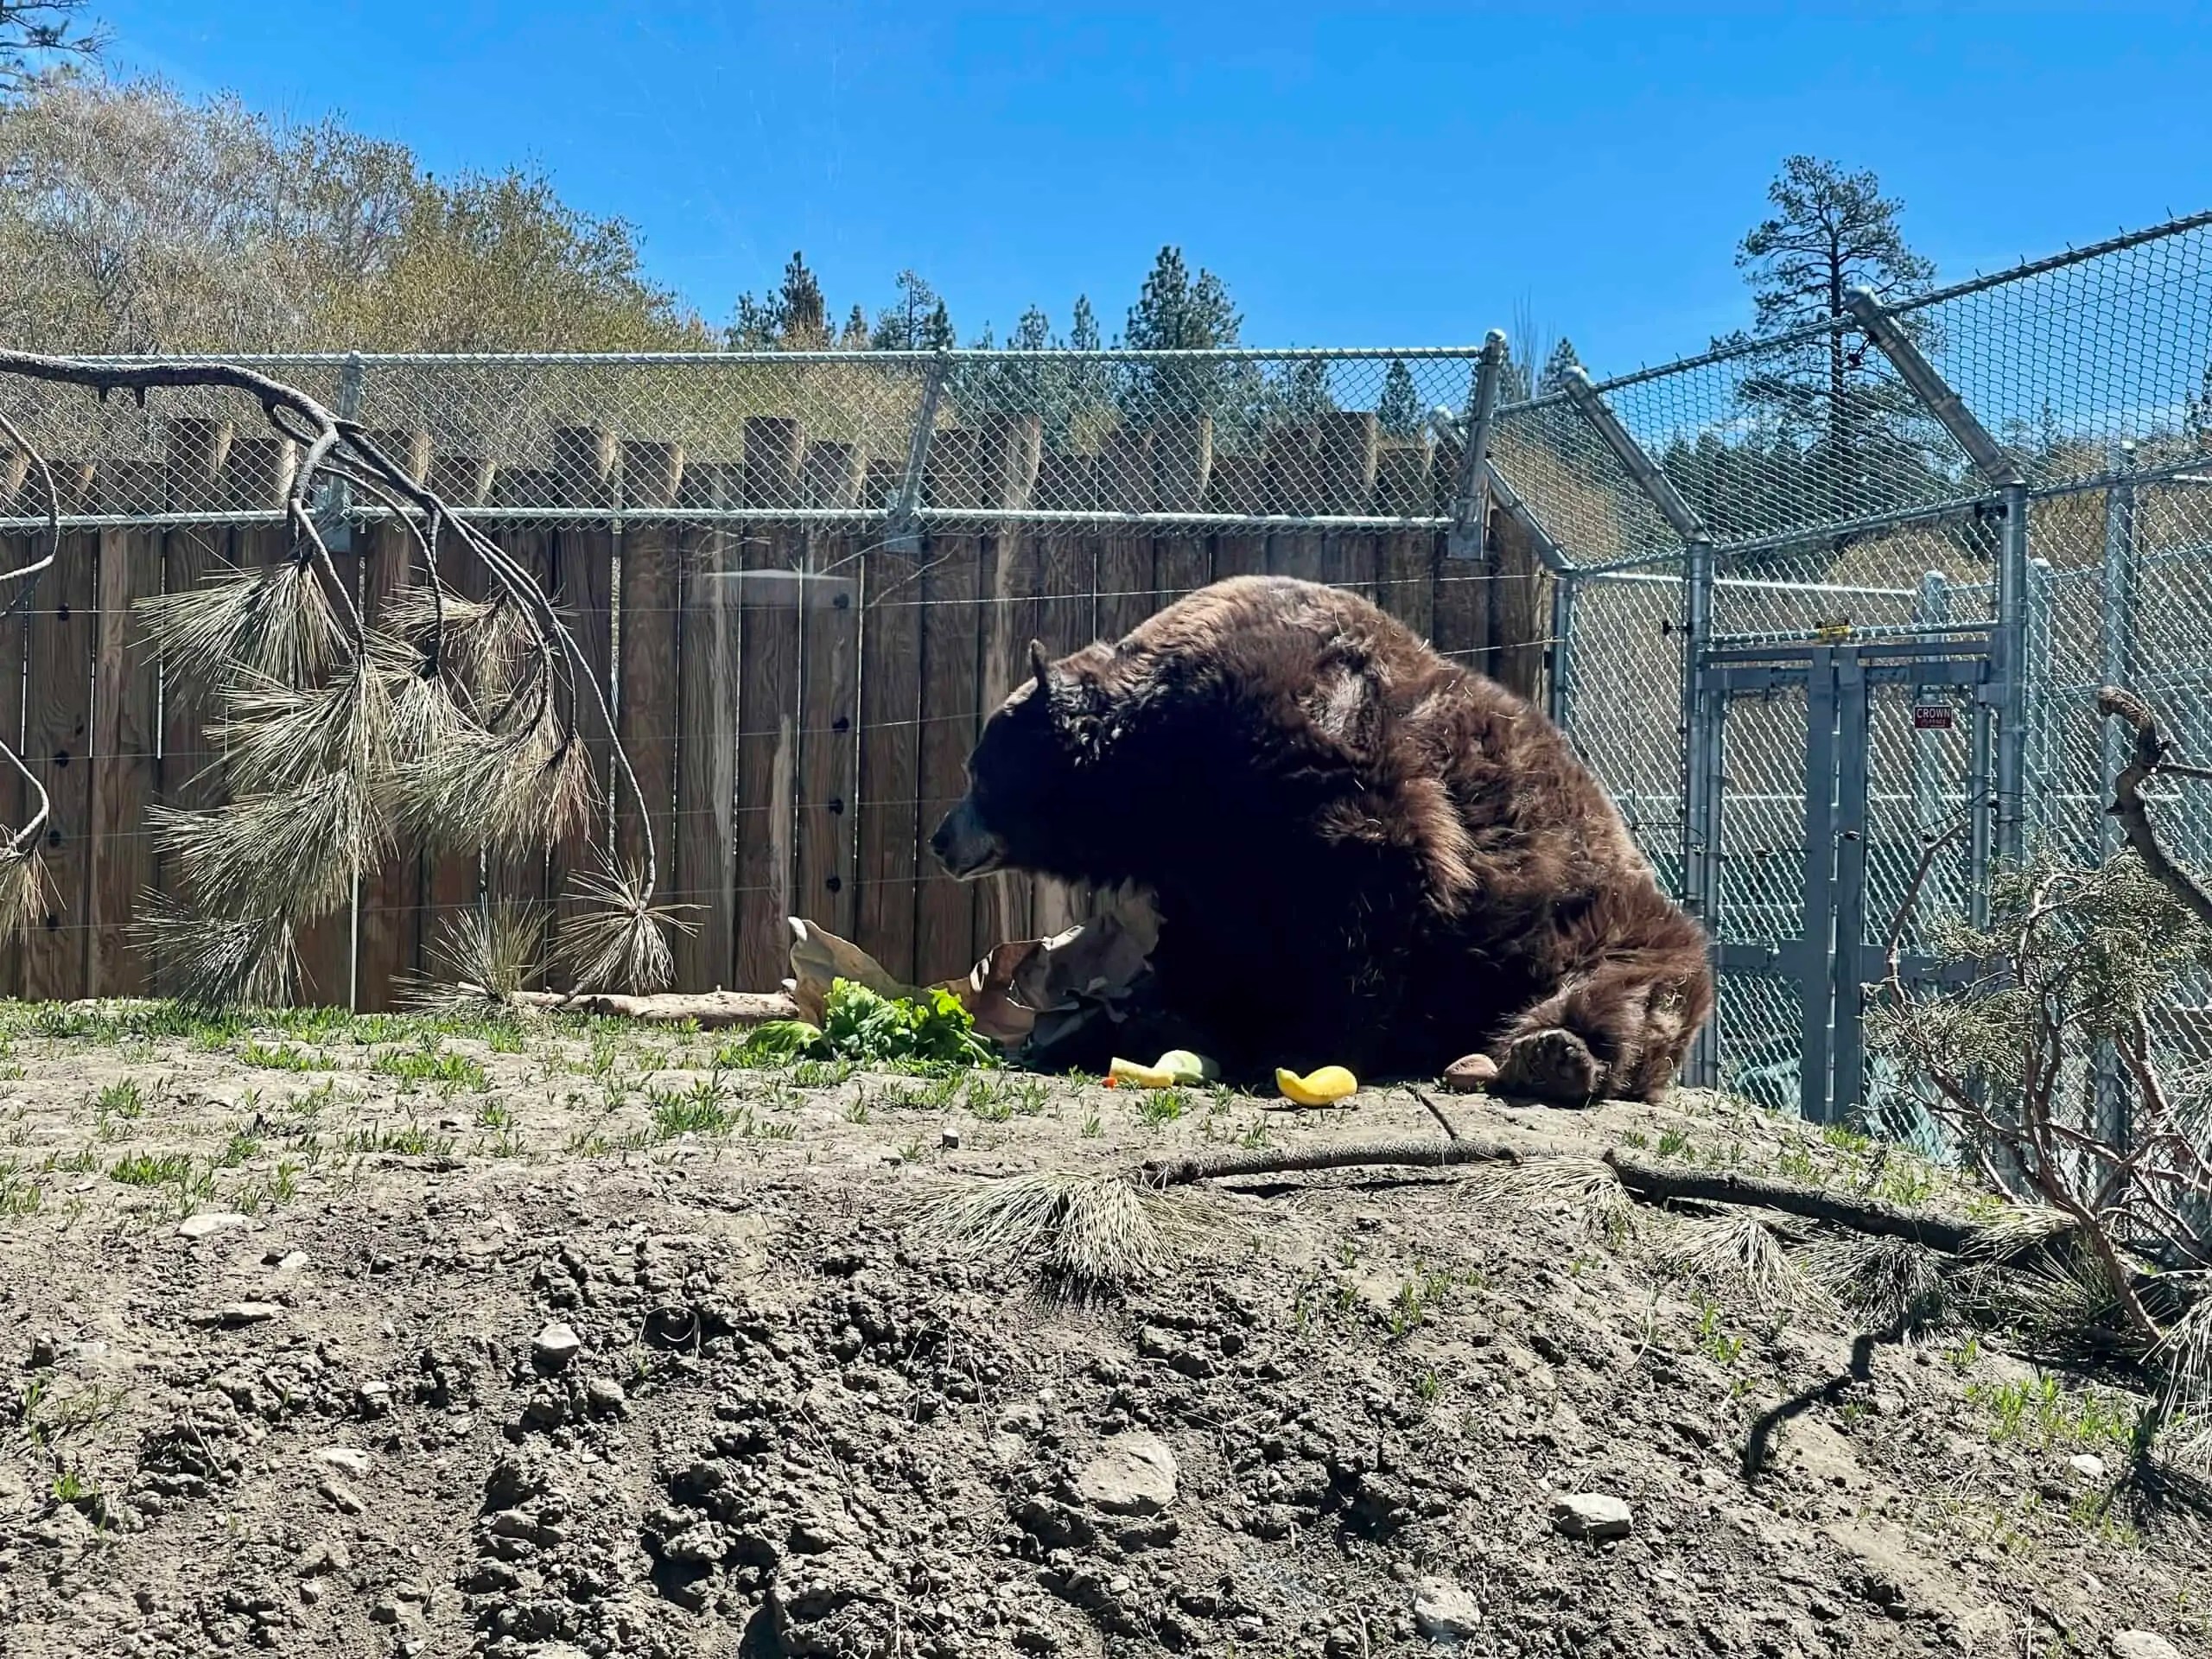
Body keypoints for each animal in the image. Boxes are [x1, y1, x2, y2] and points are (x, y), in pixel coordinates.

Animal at [929, 575, 1713, 1102]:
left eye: (978, 771)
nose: (941, 837)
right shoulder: (1201, 859)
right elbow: (1207, 946)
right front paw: (1180, 1024)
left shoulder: (1316, 762)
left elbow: (1369, 895)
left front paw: (1312, 1043)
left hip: (1601, 921)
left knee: (1628, 994)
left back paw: (1553, 1054)